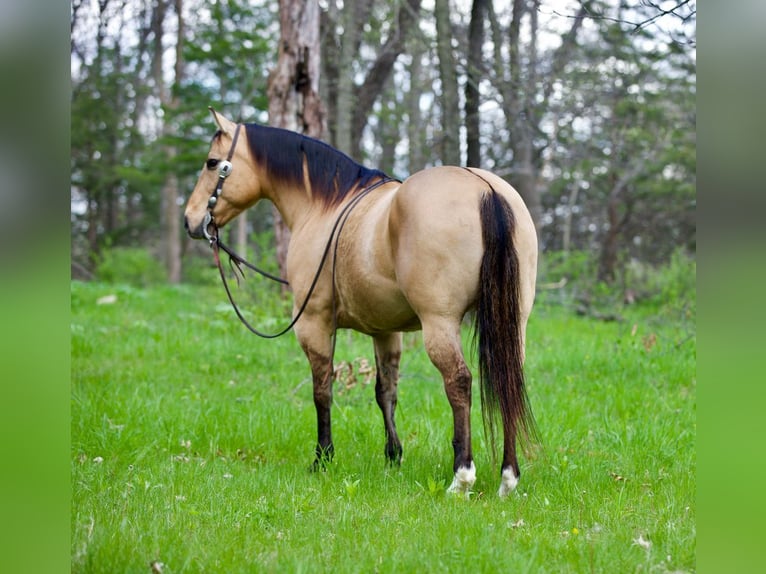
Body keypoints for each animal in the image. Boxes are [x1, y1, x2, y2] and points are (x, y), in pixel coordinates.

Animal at [184, 108, 538, 497]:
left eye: (211, 162)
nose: (191, 220)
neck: (323, 207)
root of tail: (484, 189)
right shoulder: (385, 331)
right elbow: (386, 392)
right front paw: (393, 456)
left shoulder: (314, 324)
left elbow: (322, 391)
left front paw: (322, 458)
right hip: (512, 322)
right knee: (508, 380)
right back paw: (508, 477)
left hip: (440, 323)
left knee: (459, 381)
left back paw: (462, 476)